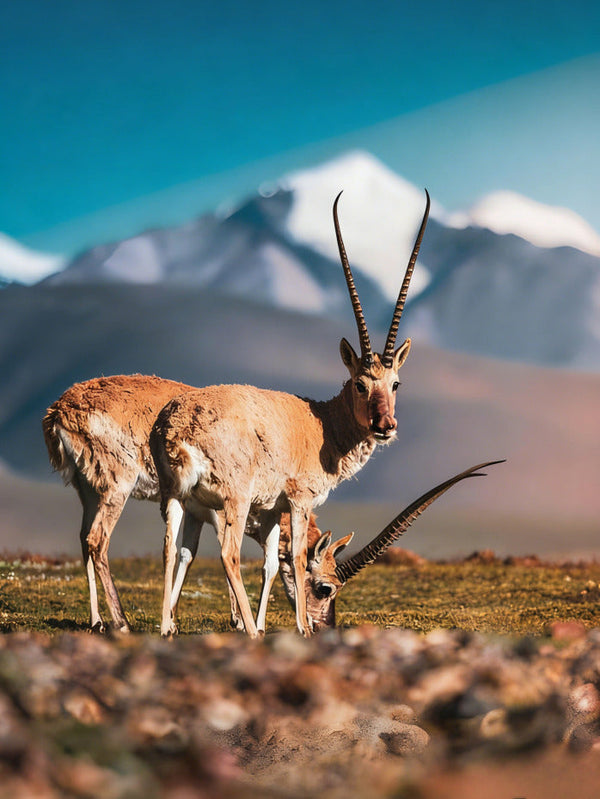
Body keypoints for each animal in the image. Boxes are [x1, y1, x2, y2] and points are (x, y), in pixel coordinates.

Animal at [150, 190, 431, 638]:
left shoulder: (271, 510)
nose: (384, 426)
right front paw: (300, 628)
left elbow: (270, 562)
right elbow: (297, 557)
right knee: (227, 553)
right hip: (232, 499)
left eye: (395, 384)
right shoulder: (298, 500)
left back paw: (166, 628)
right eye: (360, 383)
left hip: (177, 497)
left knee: (169, 549)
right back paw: (248, 630)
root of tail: (177, 425)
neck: (322, 424)